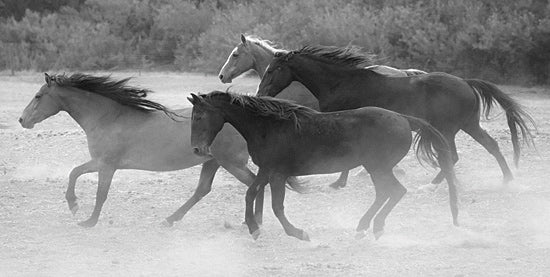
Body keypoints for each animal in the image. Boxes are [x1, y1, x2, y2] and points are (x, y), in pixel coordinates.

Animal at [188, 91, 460, 240]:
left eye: (199, 116)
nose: (197, 150)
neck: (269, 127)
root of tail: (403, 119)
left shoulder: (277, 173)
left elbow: (276, 206)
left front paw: (298, 233)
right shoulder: (268, 170)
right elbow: (251, 194)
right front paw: (254, 229)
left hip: (378, 167)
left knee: (394, 192)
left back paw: (372, 227)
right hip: (377, 168)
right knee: (387, 193)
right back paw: (365, 227)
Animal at [258, 45, 540, 188]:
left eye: (272, 70)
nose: (261, 93)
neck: (340, 83)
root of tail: (466, 83)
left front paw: (339, 183)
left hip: (448, 129)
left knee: (454, 155)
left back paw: (434, 184)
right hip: (468, 125)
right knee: (490, 145)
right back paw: (506, 179)